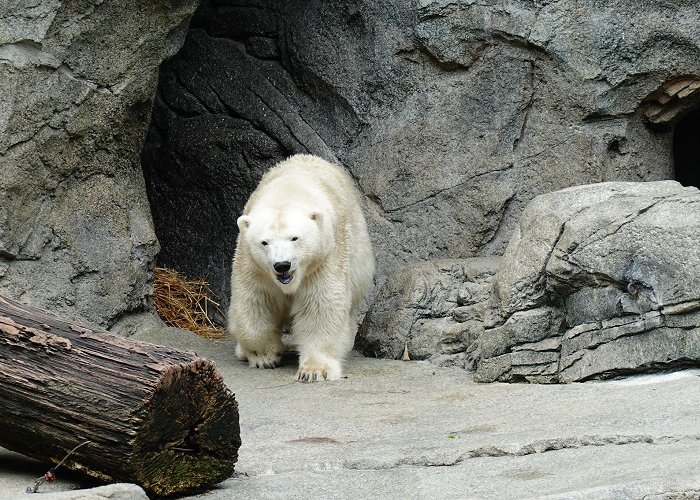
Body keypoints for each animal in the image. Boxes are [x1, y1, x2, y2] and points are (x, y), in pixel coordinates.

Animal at [227, 154, 374, 380]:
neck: (288, 192)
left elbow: (321, 304)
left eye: (294, 238)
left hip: (358, 252)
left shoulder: (325, 256)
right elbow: (254, 301)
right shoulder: (252, 263)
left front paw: (314, 370)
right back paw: (242, 351)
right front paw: (265, 357)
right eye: (264, 242)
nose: (282, 265)